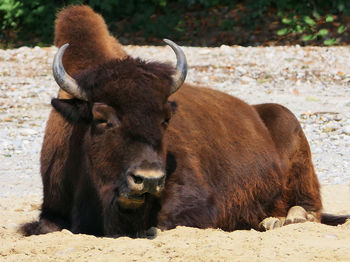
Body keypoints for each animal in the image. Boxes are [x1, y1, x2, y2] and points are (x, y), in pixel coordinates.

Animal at [21, 5, 348, 237]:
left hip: (294, 142)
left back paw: (278, 221)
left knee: (310, 209)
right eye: (101, 119)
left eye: (166, 119)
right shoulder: (52, 208)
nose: (149, 180)